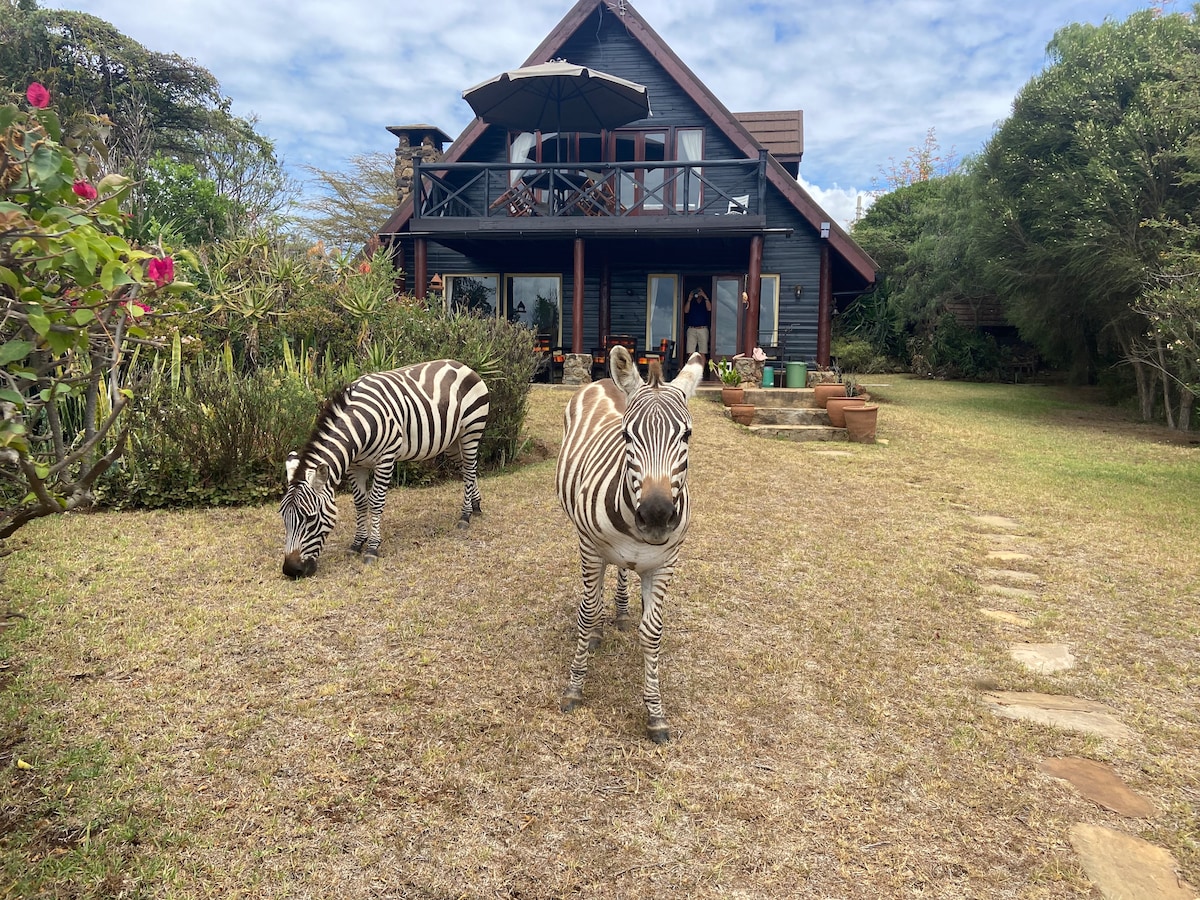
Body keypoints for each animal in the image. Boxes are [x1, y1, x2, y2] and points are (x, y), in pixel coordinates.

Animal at [278, 355, 489, 580]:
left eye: (311, 518)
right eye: (283, 517)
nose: (291, 570)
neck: (359, 426)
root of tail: (462, 365)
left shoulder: (386, 459)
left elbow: (376, 502)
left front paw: (372, 548)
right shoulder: (355, 466)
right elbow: (360, 503)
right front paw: (357, 543)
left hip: (471, 430)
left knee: (470, 468)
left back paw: (465, 516)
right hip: (451, 442)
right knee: (467, 470)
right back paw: (475, 505)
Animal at [556, 340, 705, 744]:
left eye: (686, 436)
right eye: (626, 437)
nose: (656, 515)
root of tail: (606, 379)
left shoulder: (665, 563)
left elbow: (652, 632)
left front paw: (656, 714)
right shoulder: (591, 548)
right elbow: (586, 611)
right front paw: (574, 688)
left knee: (621, 572)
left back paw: (621, 610)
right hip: (584, 539)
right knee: (594, 593)